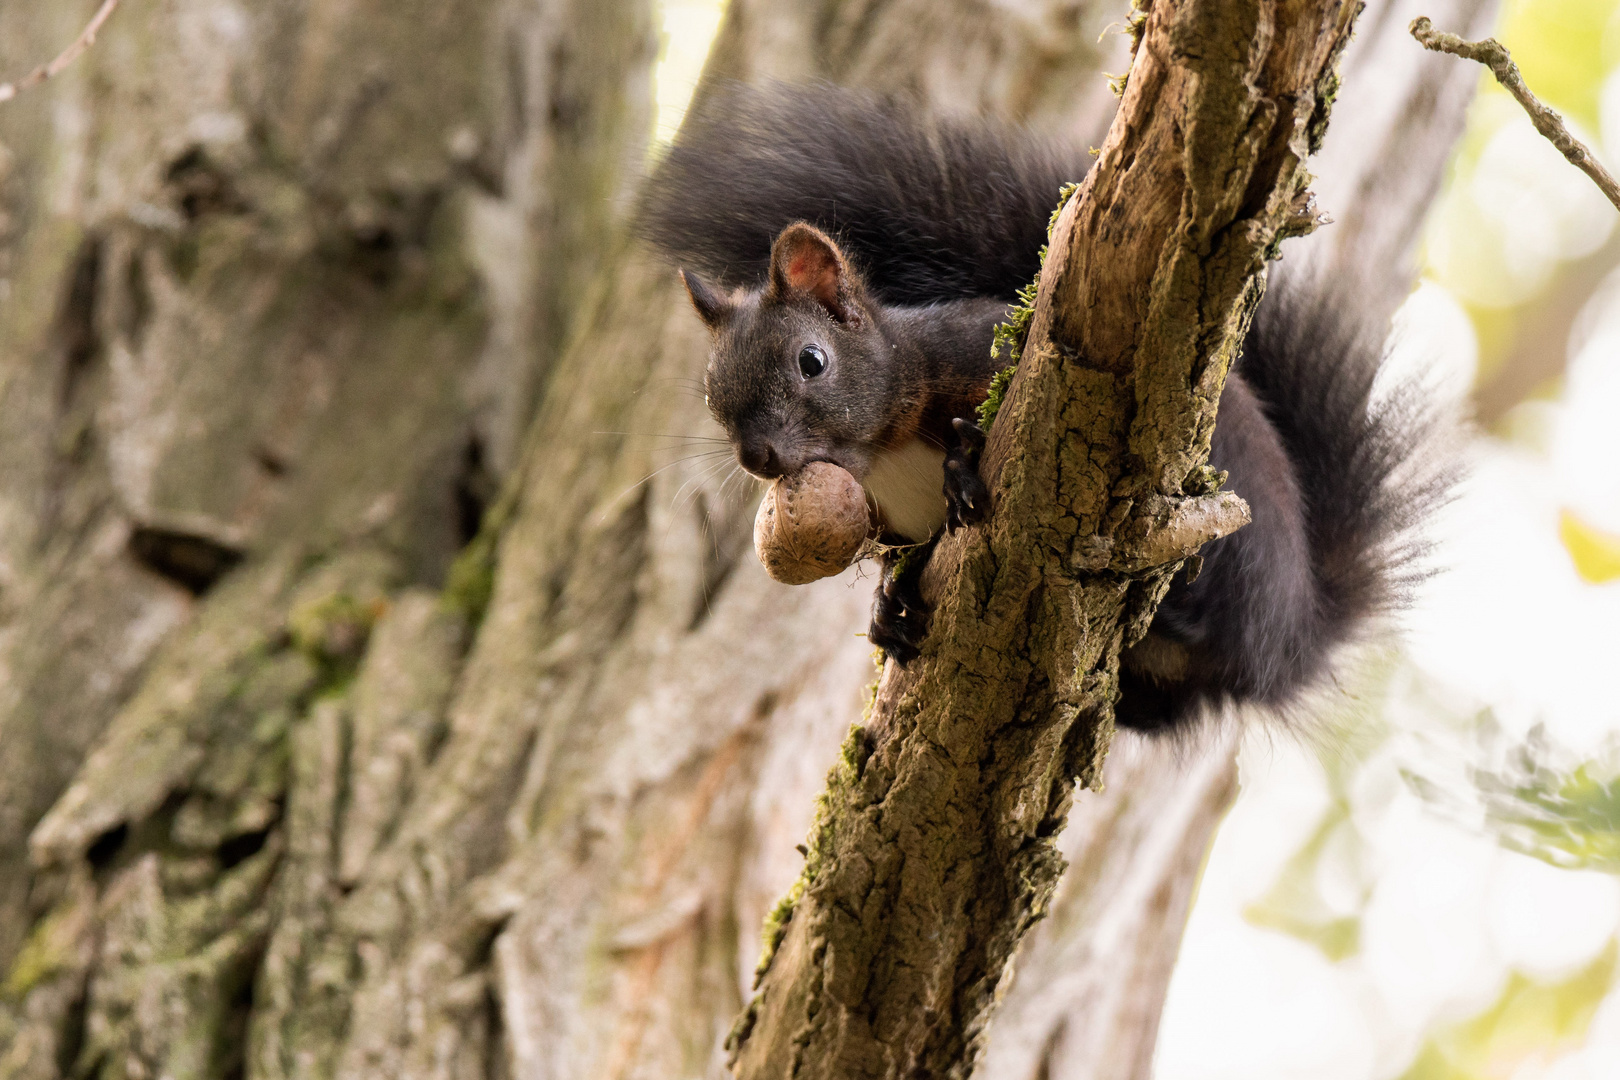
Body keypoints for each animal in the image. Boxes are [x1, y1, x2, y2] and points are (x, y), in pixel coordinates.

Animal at [638, 82, 1451, 735]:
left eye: (812, 361)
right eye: (711, 394)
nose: (758, 456)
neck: (886, 455)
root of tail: (1295, 633)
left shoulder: (979, 351)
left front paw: (963, 461)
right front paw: (887, 608)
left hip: (1236, 543)